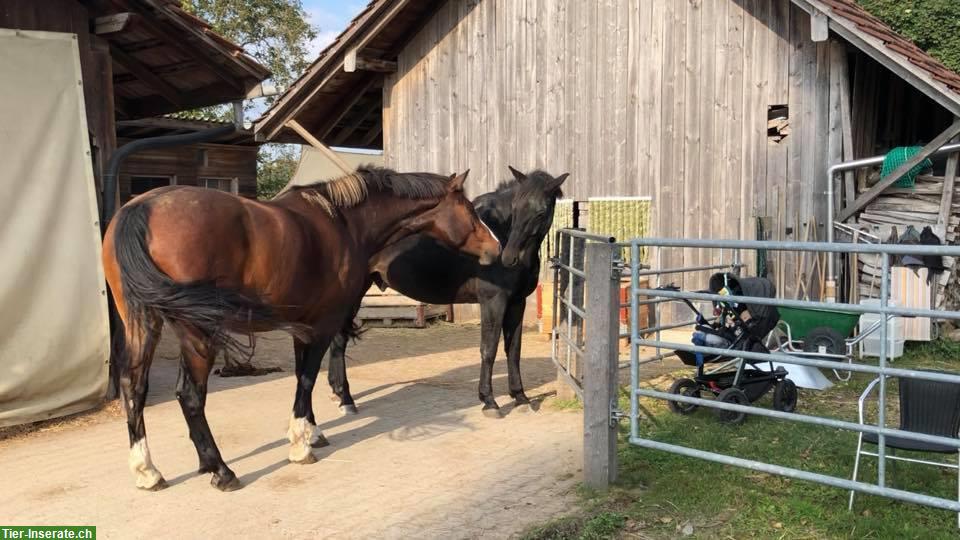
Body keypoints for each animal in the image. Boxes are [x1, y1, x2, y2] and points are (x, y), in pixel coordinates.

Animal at [101, 167, 498, 492]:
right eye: (470, 209)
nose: (495, 248)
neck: (343, 223)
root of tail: (142, 209)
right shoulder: (322, 325)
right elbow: (306, 379)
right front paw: (300, 444)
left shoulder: (303, 328)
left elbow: (299, 377)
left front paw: (313, 431)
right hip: (196, 333)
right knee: (190, 395)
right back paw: (221, 471)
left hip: (143, 322)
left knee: (134, 386)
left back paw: (149, 471)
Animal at [324, 169, 564, 418]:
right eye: (515, 208)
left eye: (541, 212)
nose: (508, 257)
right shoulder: (493, 302)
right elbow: (488, 349)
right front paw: (489, 401)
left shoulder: (517, 302)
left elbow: (513, 350)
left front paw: (520, 397)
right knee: (339, 341)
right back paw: (346, 399)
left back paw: (339, 394)